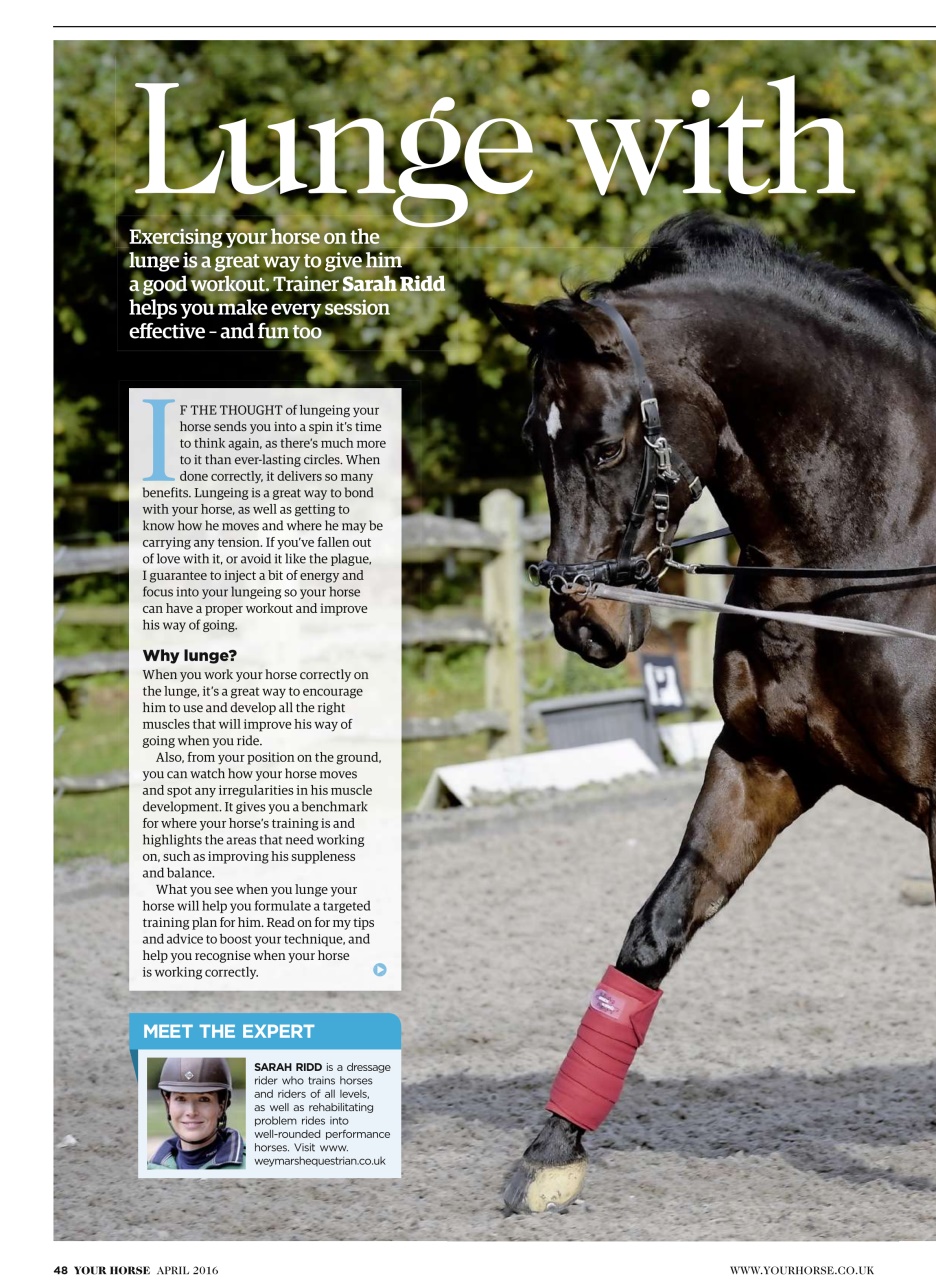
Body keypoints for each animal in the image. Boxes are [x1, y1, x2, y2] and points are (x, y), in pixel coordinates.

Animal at [490, 211, 936, 1214]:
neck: (883, 536)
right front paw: (553, 1151)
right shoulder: (762, 766)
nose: (584, 623)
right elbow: (654, 935)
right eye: (535, 443)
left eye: (605, 447)